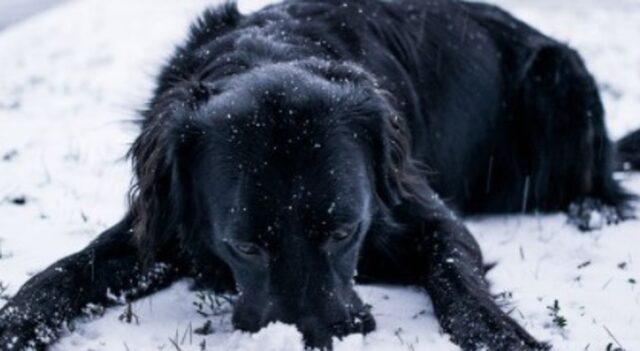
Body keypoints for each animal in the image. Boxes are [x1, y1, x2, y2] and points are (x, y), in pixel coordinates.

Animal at [1, 0, 640, 350]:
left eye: (343, 232)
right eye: (244, 247)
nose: (314, 336)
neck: (271, 53)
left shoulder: (426, 216)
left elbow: (457, 279)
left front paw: (502, 334)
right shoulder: (164, 228)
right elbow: (63, 272)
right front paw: (14, 326)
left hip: (562, 79)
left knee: (604, 175)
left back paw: (593, 207)